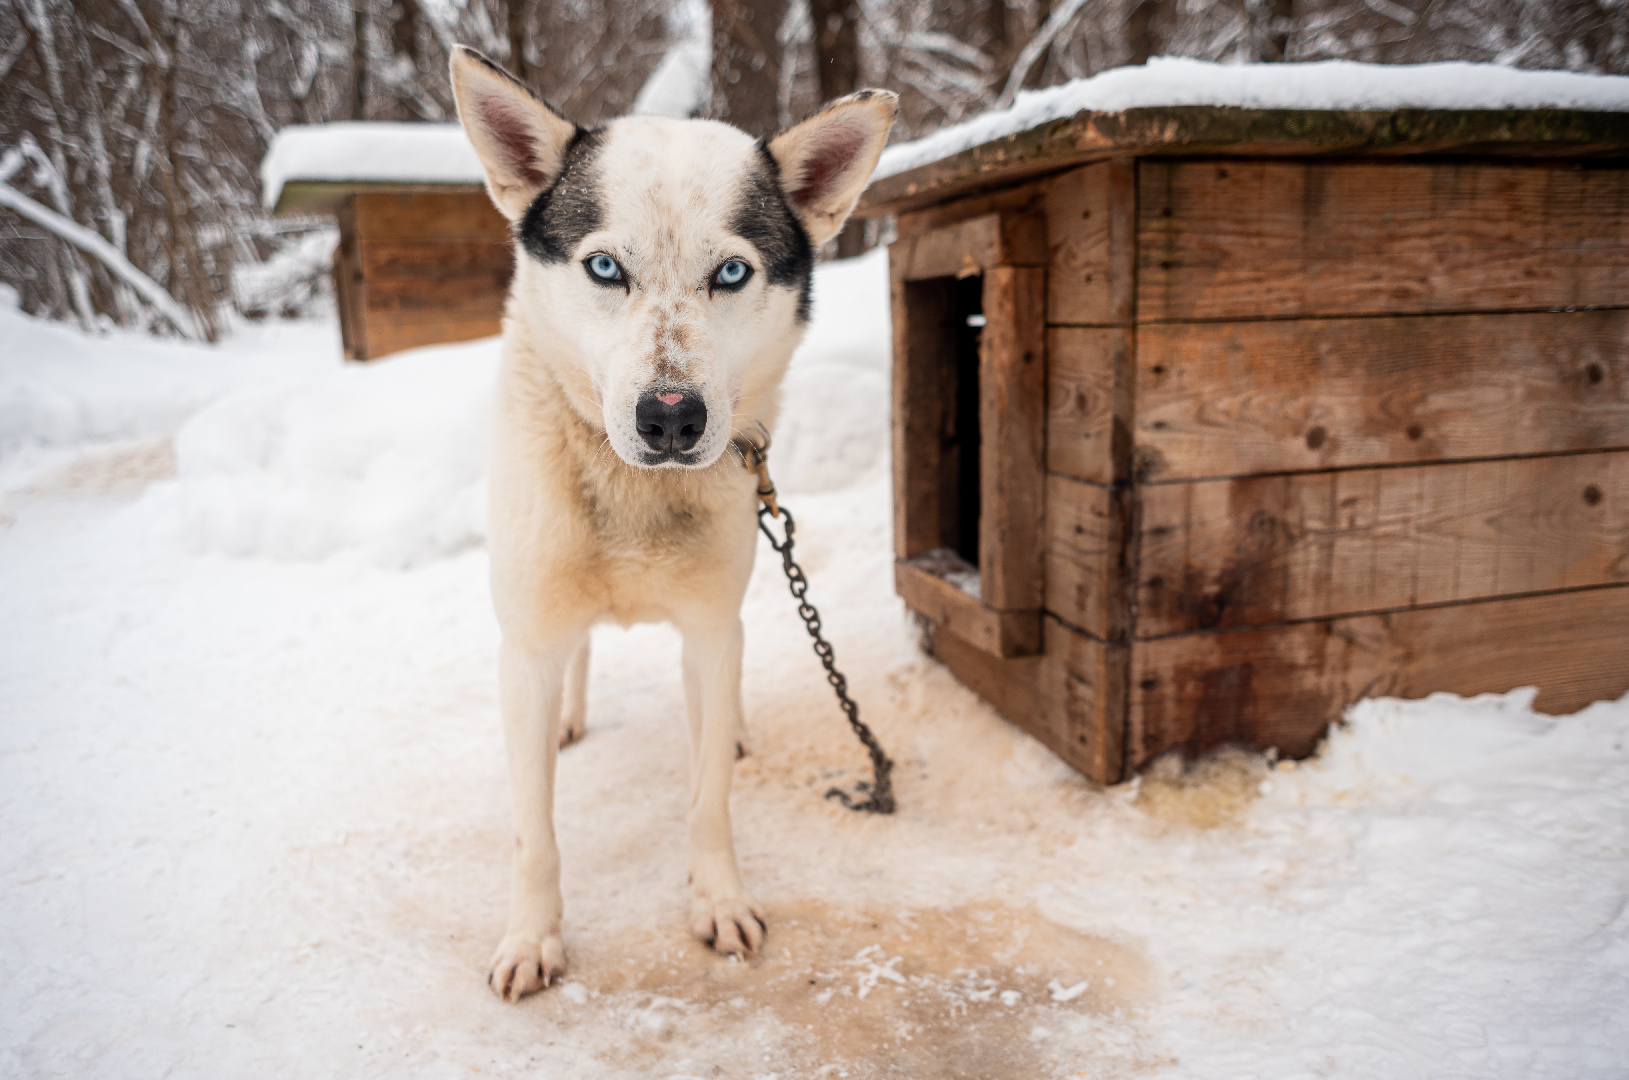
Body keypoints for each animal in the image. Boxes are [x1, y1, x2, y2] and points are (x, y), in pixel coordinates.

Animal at [446, 46, 899, 1003]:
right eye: (603, 269)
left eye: (729, 273)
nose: (670, 419)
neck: (634, 495)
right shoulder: (528, 643)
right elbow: (534, 834)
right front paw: (532, 938)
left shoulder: (707, 628)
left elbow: (706, 800)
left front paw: (718, 901)